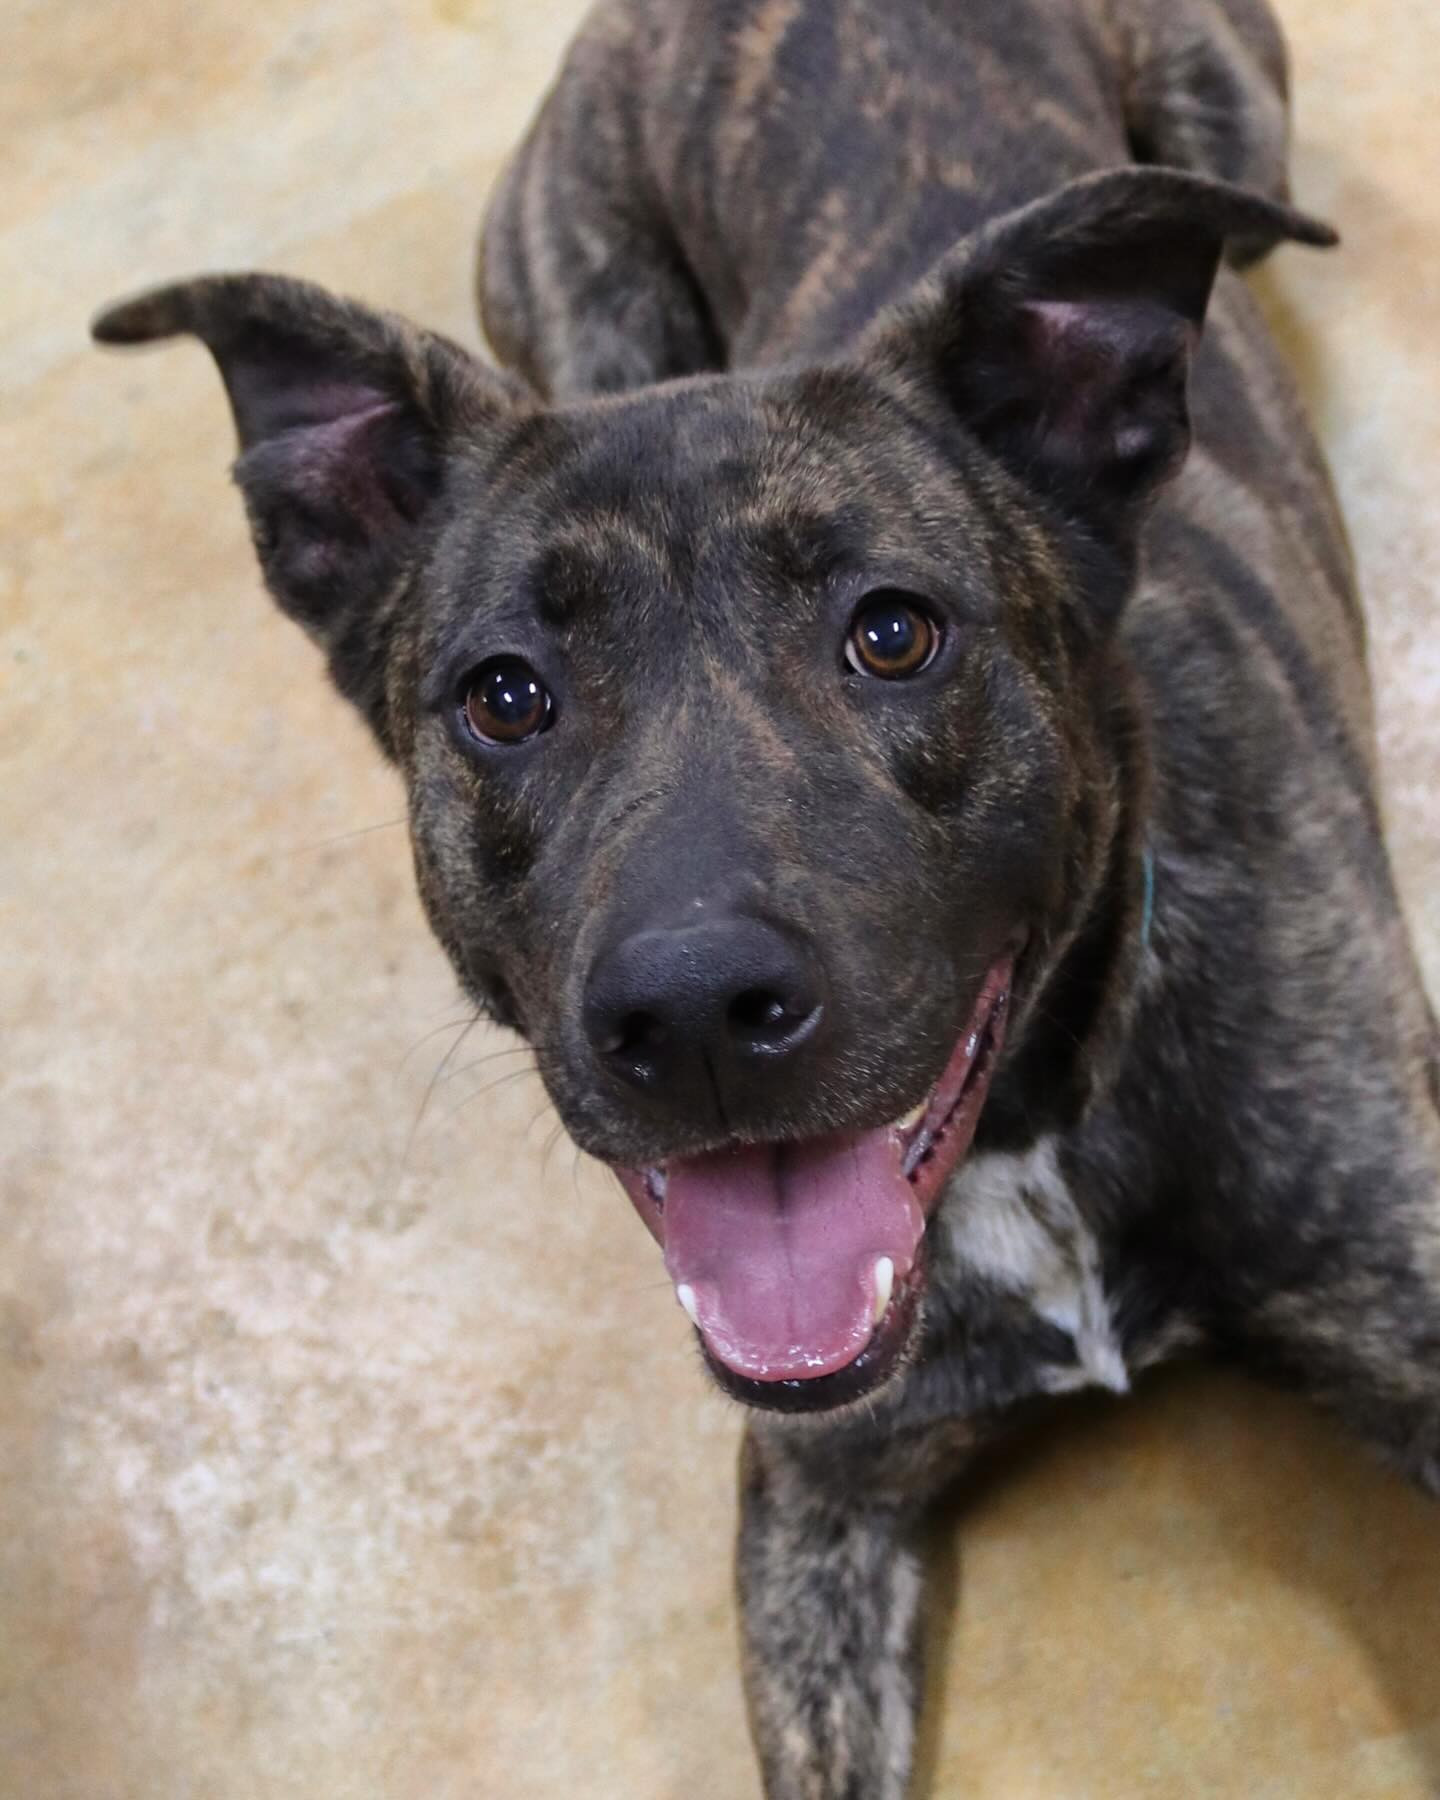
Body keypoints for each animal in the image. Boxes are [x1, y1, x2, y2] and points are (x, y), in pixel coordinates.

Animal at [95, 0, 1432, 1792]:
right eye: (504, 697)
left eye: (894, 631)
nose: (697, 1016)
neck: (1035, 1134)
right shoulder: (811, 1508)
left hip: (1238, 127)